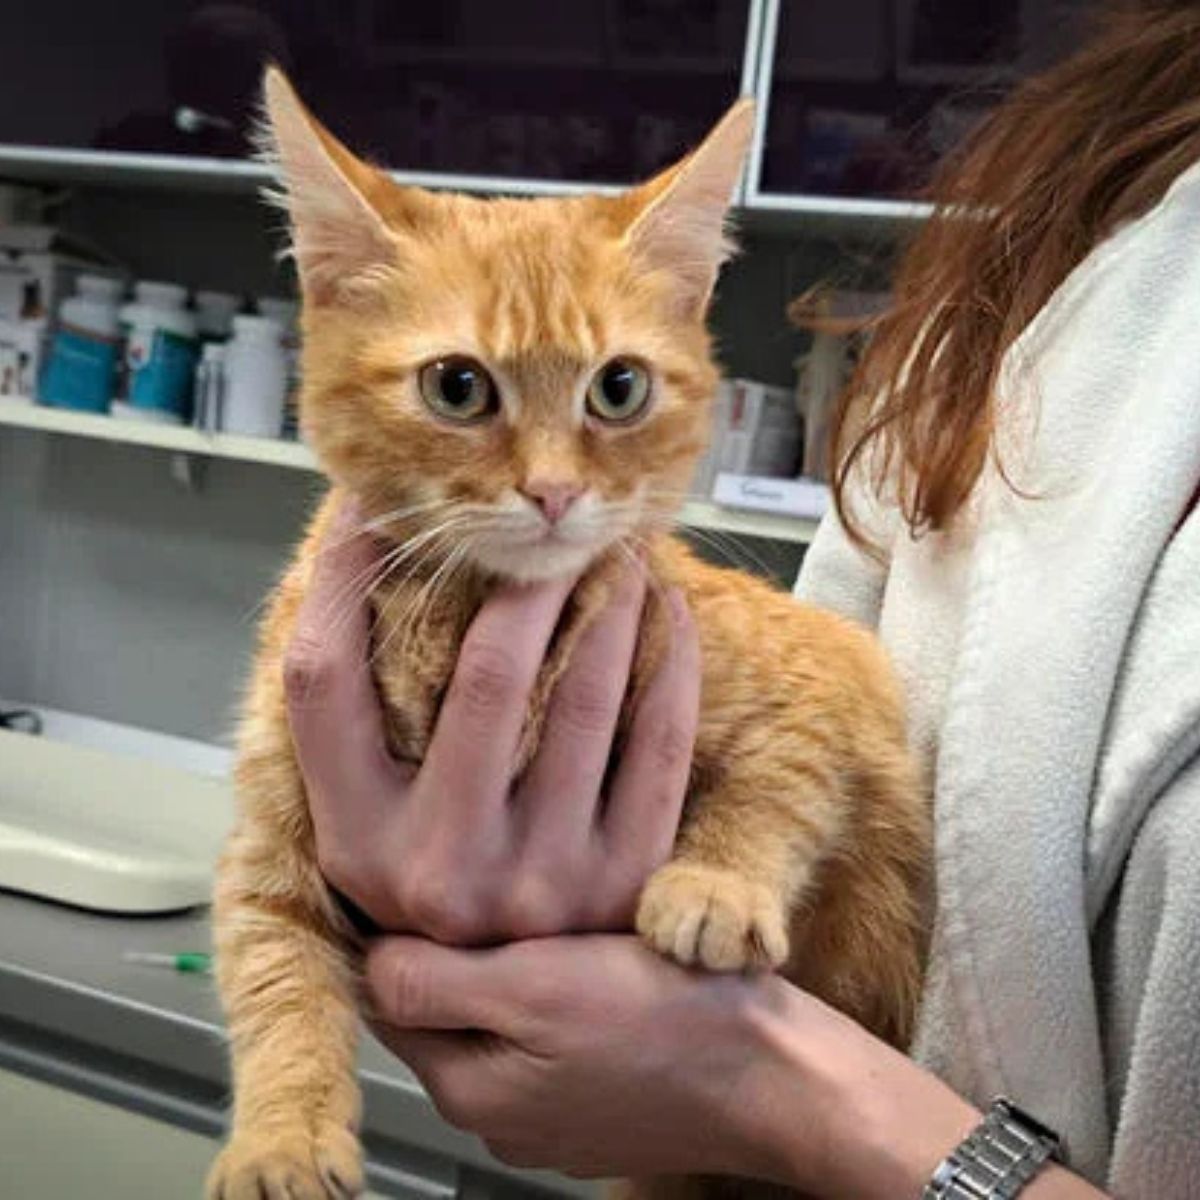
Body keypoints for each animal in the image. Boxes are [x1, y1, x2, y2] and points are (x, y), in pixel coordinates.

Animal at [208, 70, 926, 1200]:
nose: (551, 492)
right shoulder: (272, 843)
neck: (463, 616)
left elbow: (782, 780)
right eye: (457, 386)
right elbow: (275, 977)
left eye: (618, 387)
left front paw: (716, 884)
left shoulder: (829, 679)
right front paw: (282, 1138)